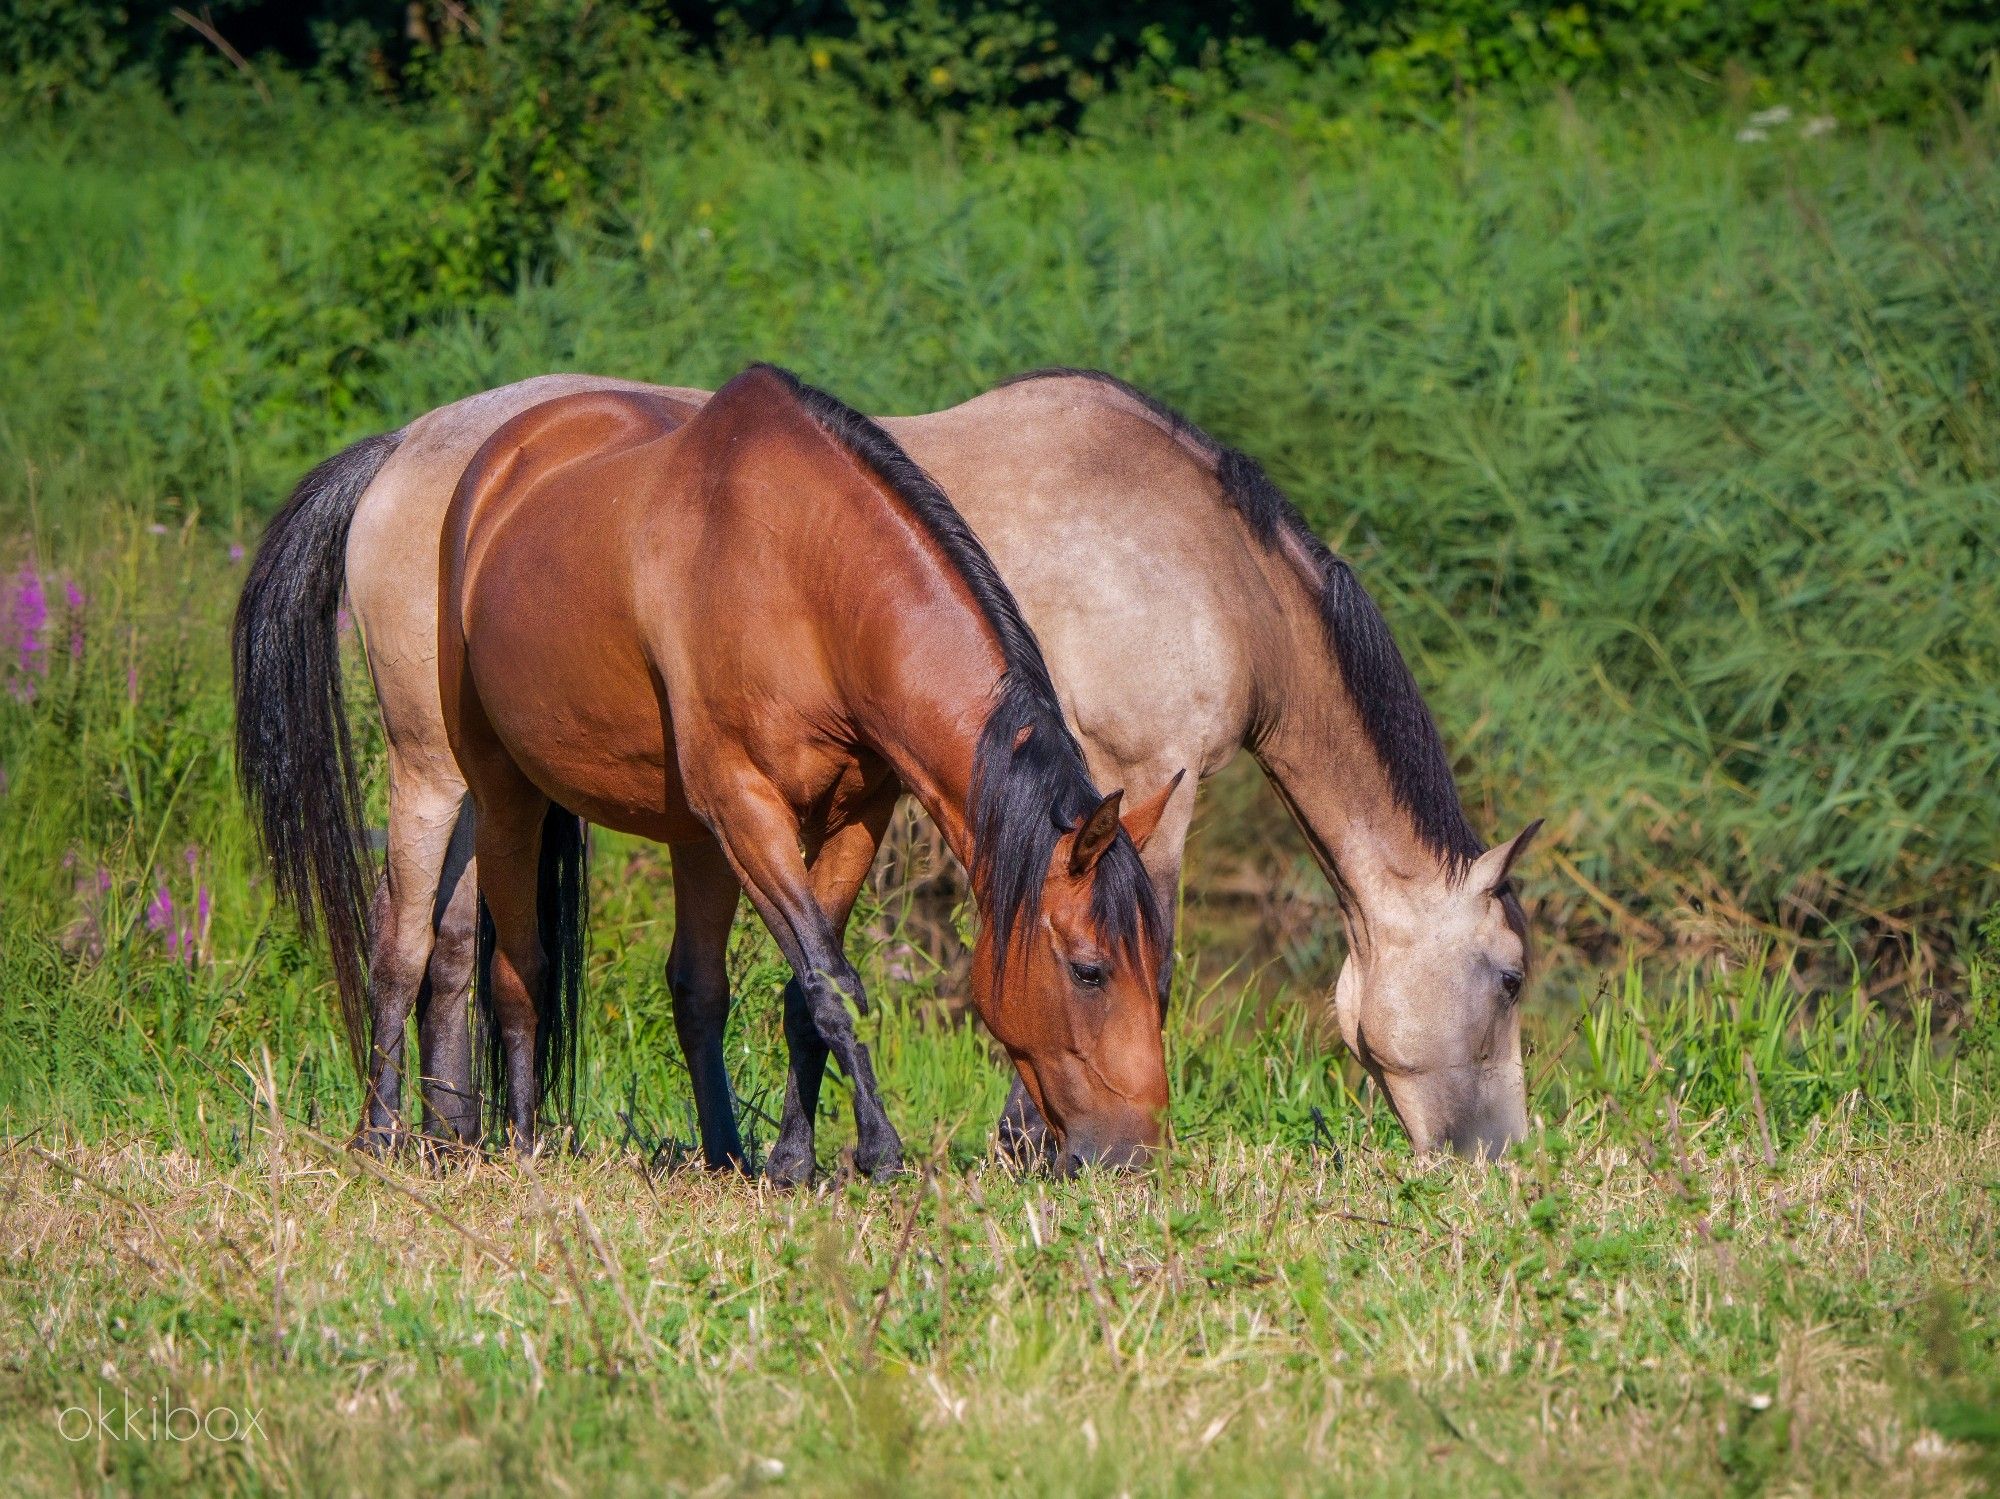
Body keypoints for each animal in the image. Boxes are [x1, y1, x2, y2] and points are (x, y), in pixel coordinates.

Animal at [238, 369, 1544, 1167]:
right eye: (1512, 975)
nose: (1497, 1151)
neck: (1208, 557)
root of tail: (407, 448)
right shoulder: (1143, 787)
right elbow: (1138, 958)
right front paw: (1029, 1140)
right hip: (427, 762)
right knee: (403, 941)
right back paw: (388, 1132)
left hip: (485, 781)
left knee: (460, 942)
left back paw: (454, 1132)